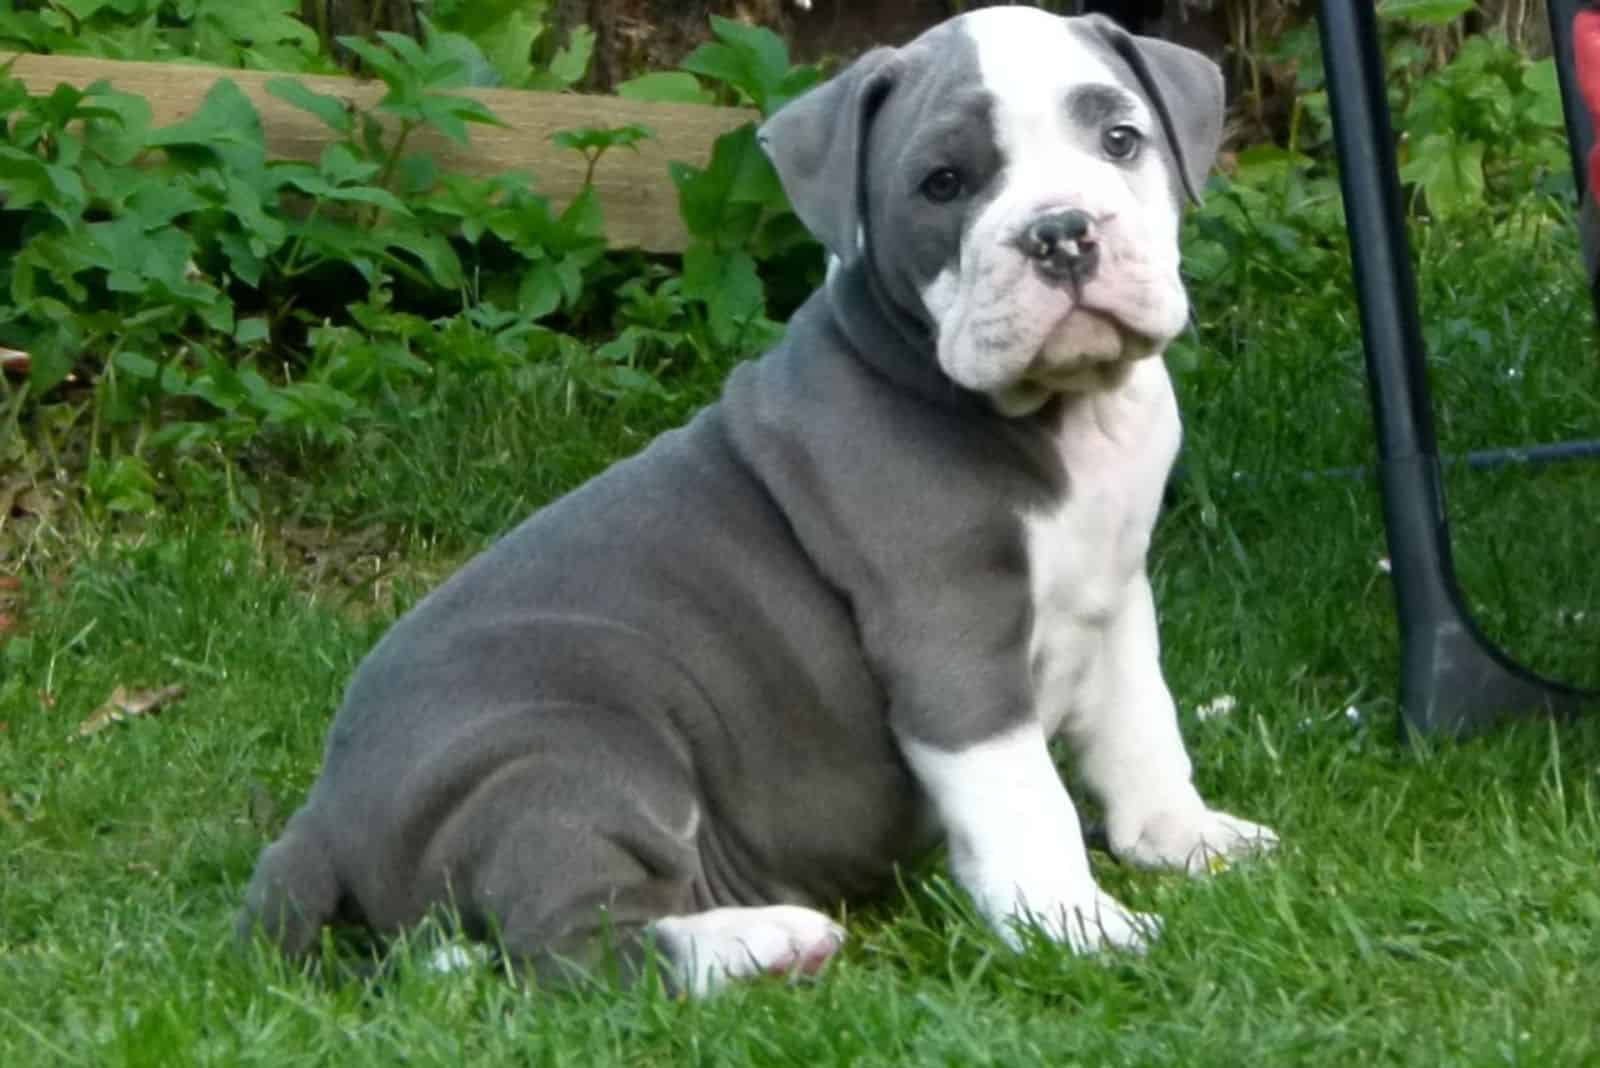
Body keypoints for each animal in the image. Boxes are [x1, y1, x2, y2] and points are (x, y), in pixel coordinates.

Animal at [240, 6, 1273, 991]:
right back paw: (770, 944)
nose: (1060, 232)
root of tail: (322, 813)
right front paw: (1076, 925)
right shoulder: (949, 636)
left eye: (1121, 140)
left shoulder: (1117, 585)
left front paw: (1184, 836)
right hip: (569, 745)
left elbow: (1142, 722)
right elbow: (1024, 799)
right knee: (573, 951)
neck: (1063, 415)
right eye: (943, 183)